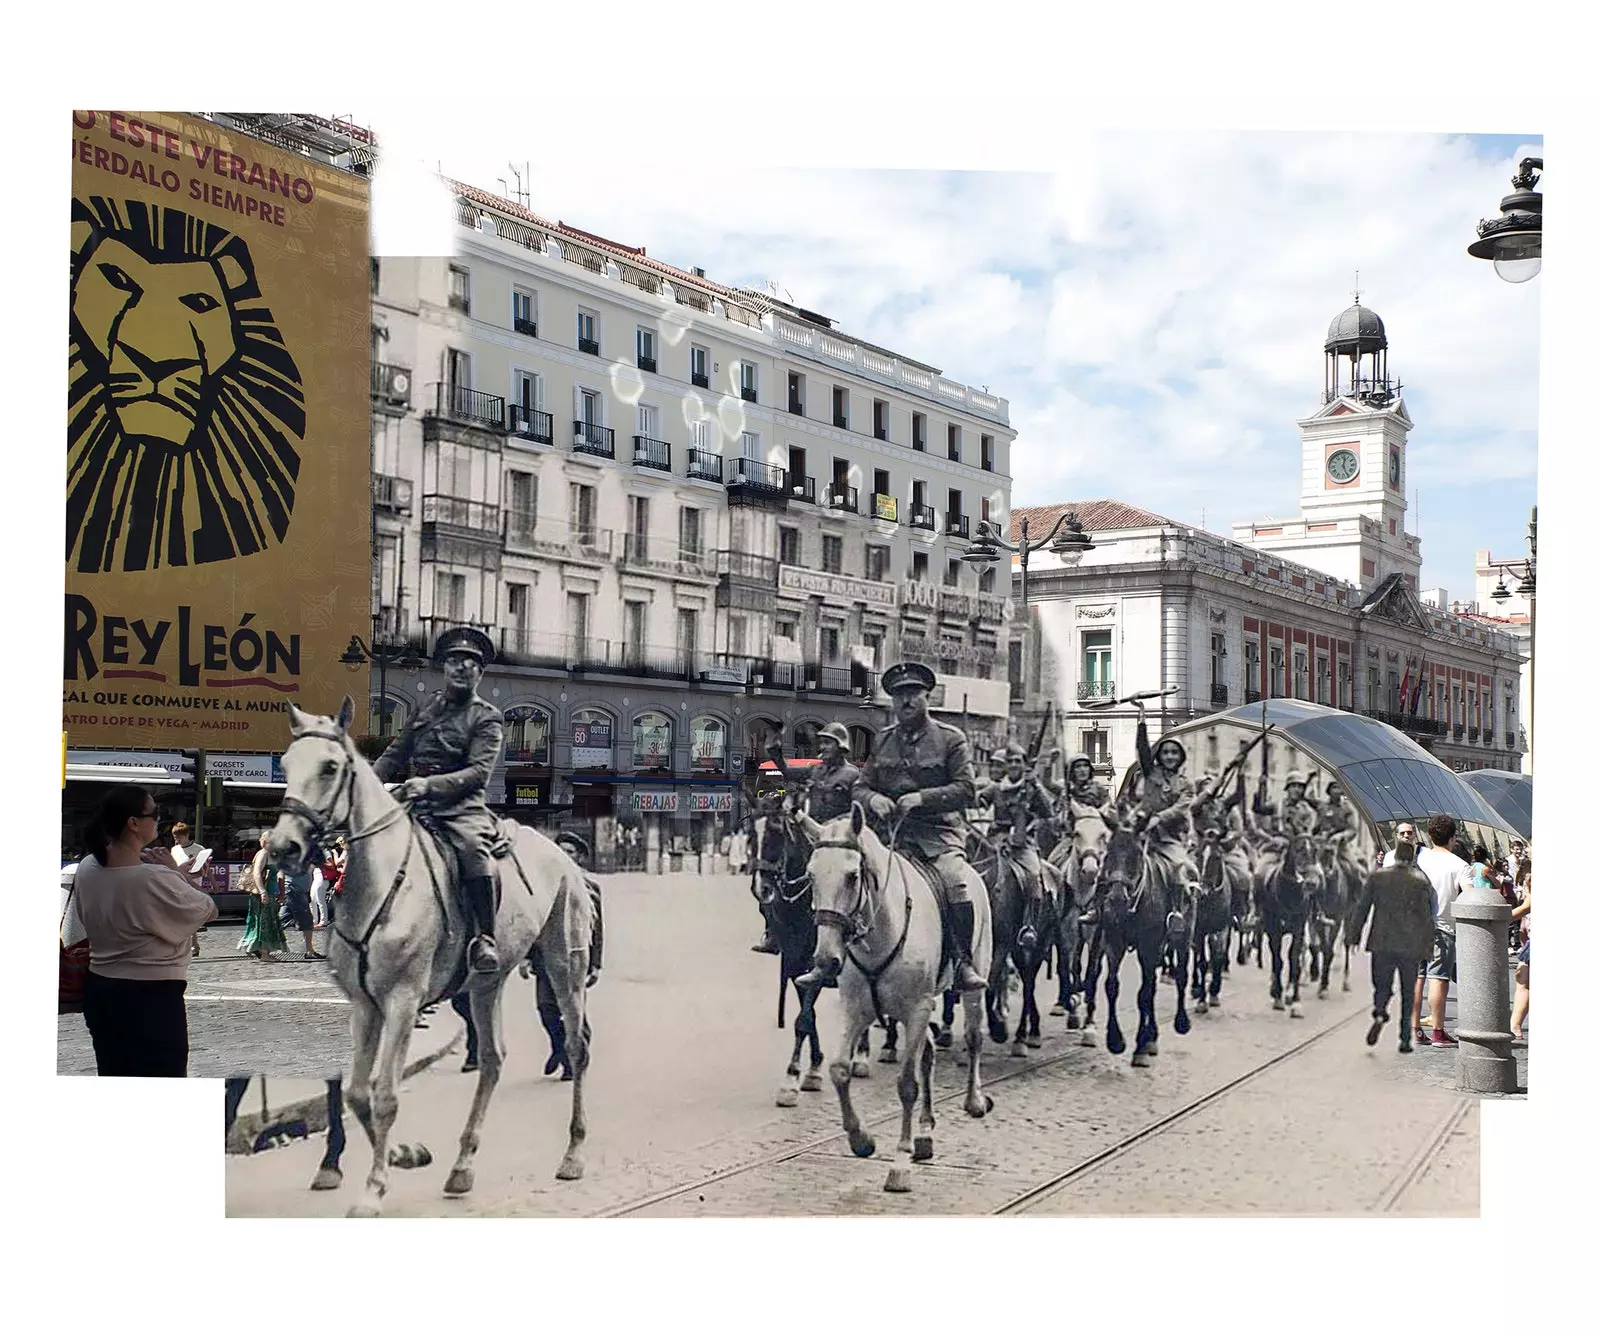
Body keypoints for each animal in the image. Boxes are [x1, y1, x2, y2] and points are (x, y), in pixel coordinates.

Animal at [268, 697, 595, 1216]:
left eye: (330, 766)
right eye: (284, 764)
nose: (283, 847)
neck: (382, 882)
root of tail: (561, 854)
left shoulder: (403, 1002)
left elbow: (385, 1094)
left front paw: (374, 1189)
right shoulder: (365, 1006)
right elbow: (358, 1094)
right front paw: (406, 1154)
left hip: (567, 964)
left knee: (578, 1046)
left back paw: (573, 1154)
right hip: (486, 982)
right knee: (493, 1058)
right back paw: (462, 1166)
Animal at [796, 806, 992, 1190]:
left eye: (852, 876)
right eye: (811, 876)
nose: (825, 960)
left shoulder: (916, 1009)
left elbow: (906, 1085)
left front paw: (900, 1163)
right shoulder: (856, 1008)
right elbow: (839, 1070)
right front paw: (861, 1139)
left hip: (971, 980)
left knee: (974, 1037)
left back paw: (974, 1099)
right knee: (928, 1053)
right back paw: (925, 1133)